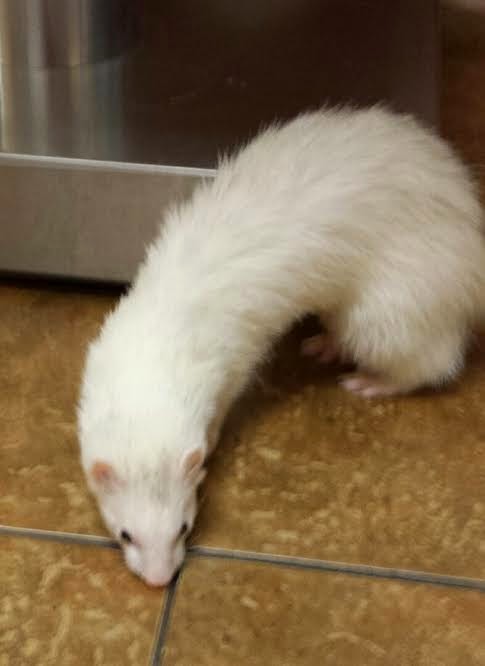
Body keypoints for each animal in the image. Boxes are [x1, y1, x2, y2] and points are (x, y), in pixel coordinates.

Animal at [77, 106, 485, 586]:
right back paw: (325, 344)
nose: (161, 579)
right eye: (125, 534)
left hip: (388, 313)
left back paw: (369, 381)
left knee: (430, 363)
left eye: (184, 525)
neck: (167, 320)